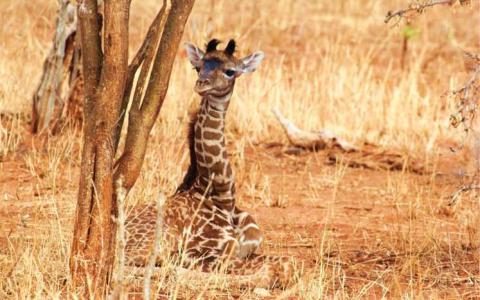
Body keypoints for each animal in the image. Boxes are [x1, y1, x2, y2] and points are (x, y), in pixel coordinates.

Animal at [125, 38, 294, 288]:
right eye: (198, 67)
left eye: (230, 71)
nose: (201, 84)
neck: (221, 196)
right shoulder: (202, 250)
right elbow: (276, 267)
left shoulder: (247, 248)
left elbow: (284, 262)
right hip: (158, 243)